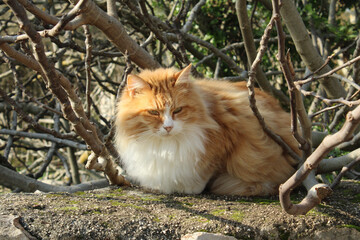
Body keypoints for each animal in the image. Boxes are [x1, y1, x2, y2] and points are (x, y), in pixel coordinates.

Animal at [114, 64, 300, 196]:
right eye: (153, 112)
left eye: (177, 110)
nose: (168, 127)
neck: (165, 146)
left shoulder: (223, 145)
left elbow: (205, 173)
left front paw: (189, 187)